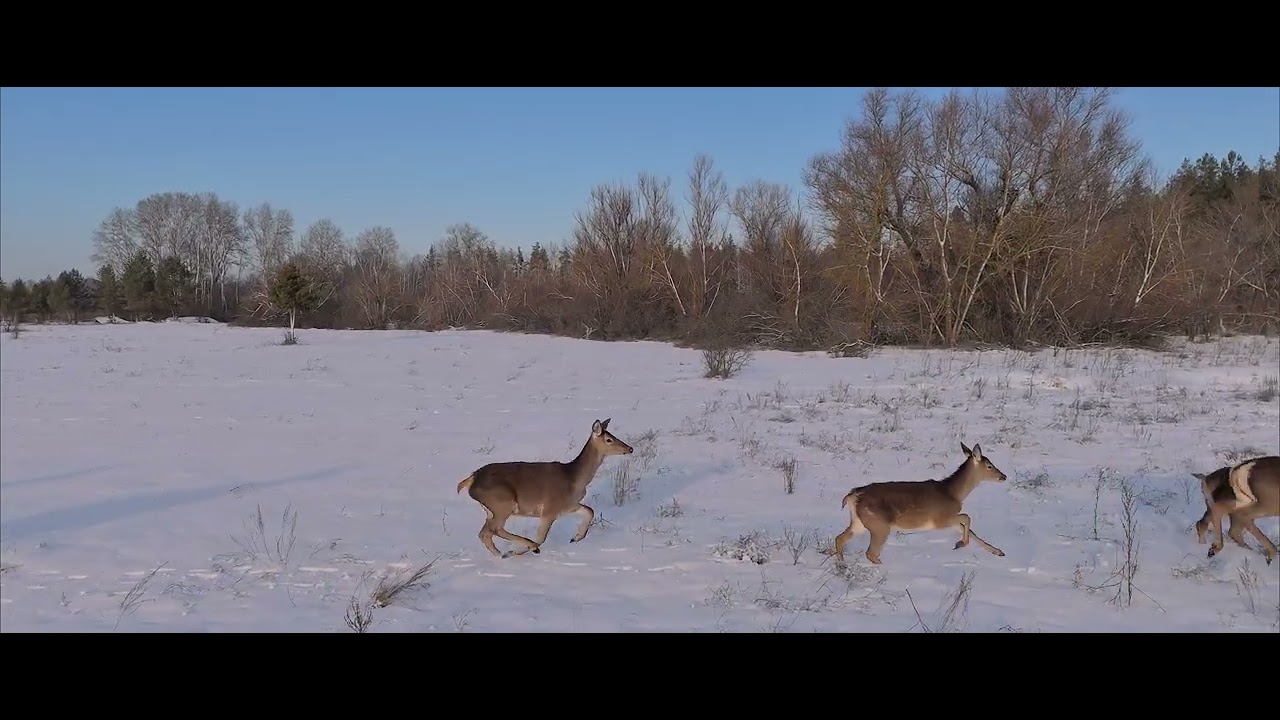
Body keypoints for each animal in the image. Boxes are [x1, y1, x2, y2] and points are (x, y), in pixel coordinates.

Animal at [455, 418, 634, 559]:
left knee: (485, 533)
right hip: (503, 502)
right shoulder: (549, 508)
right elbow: (541, 537)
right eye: (609, 439)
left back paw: (501, 554)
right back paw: (518, 550)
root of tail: (471, 480)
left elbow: (589, 511)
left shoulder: (568, 505)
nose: (630, 448)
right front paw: (518, 551)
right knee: (494, 530)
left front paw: (576, 537)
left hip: (492, 509)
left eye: (613, 436)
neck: (574, 479)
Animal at [832, 441, 1008, 565]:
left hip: (860, 522)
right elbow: (967, 518)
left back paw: (842, 564)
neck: (953, 493)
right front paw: (959, 544)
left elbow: (971, 531)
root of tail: (853, 495)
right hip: (879, 525)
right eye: (989, 466)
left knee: (840, 538)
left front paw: (998, 552)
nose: (1003, 476)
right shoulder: (940, 519)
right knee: (870, 553)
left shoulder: (949, 519)